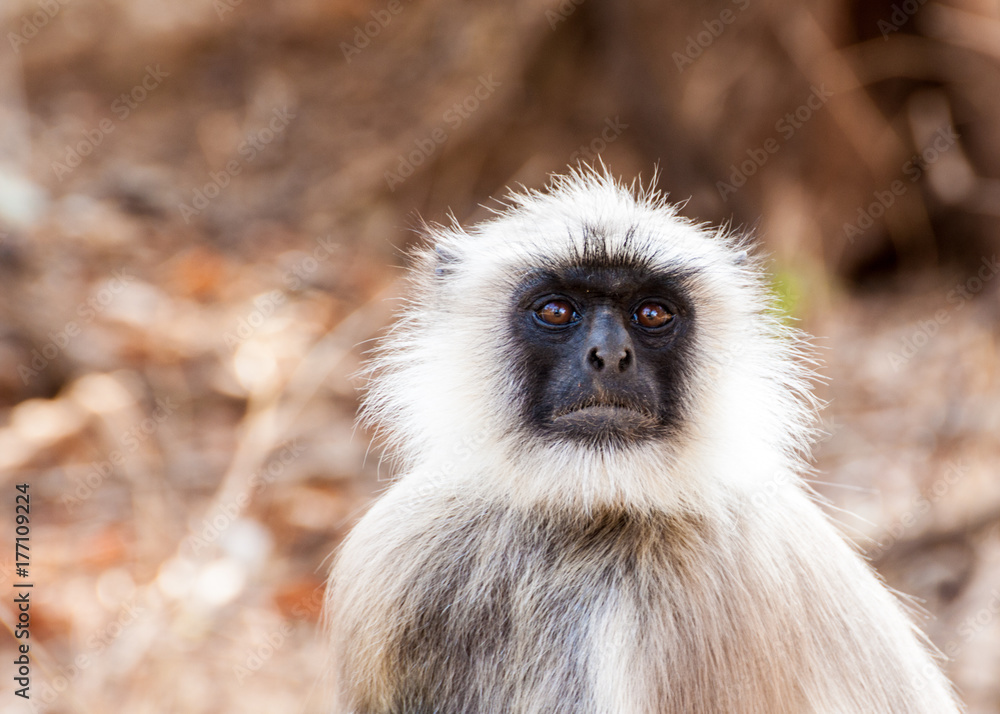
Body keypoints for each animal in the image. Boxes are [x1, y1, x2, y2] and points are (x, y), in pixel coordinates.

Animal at [326, 169, 962, 713]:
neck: (581, 516)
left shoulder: (687, 608)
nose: (610, 356)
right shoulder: (398, 549)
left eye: (652, 313)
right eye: (556, 309)